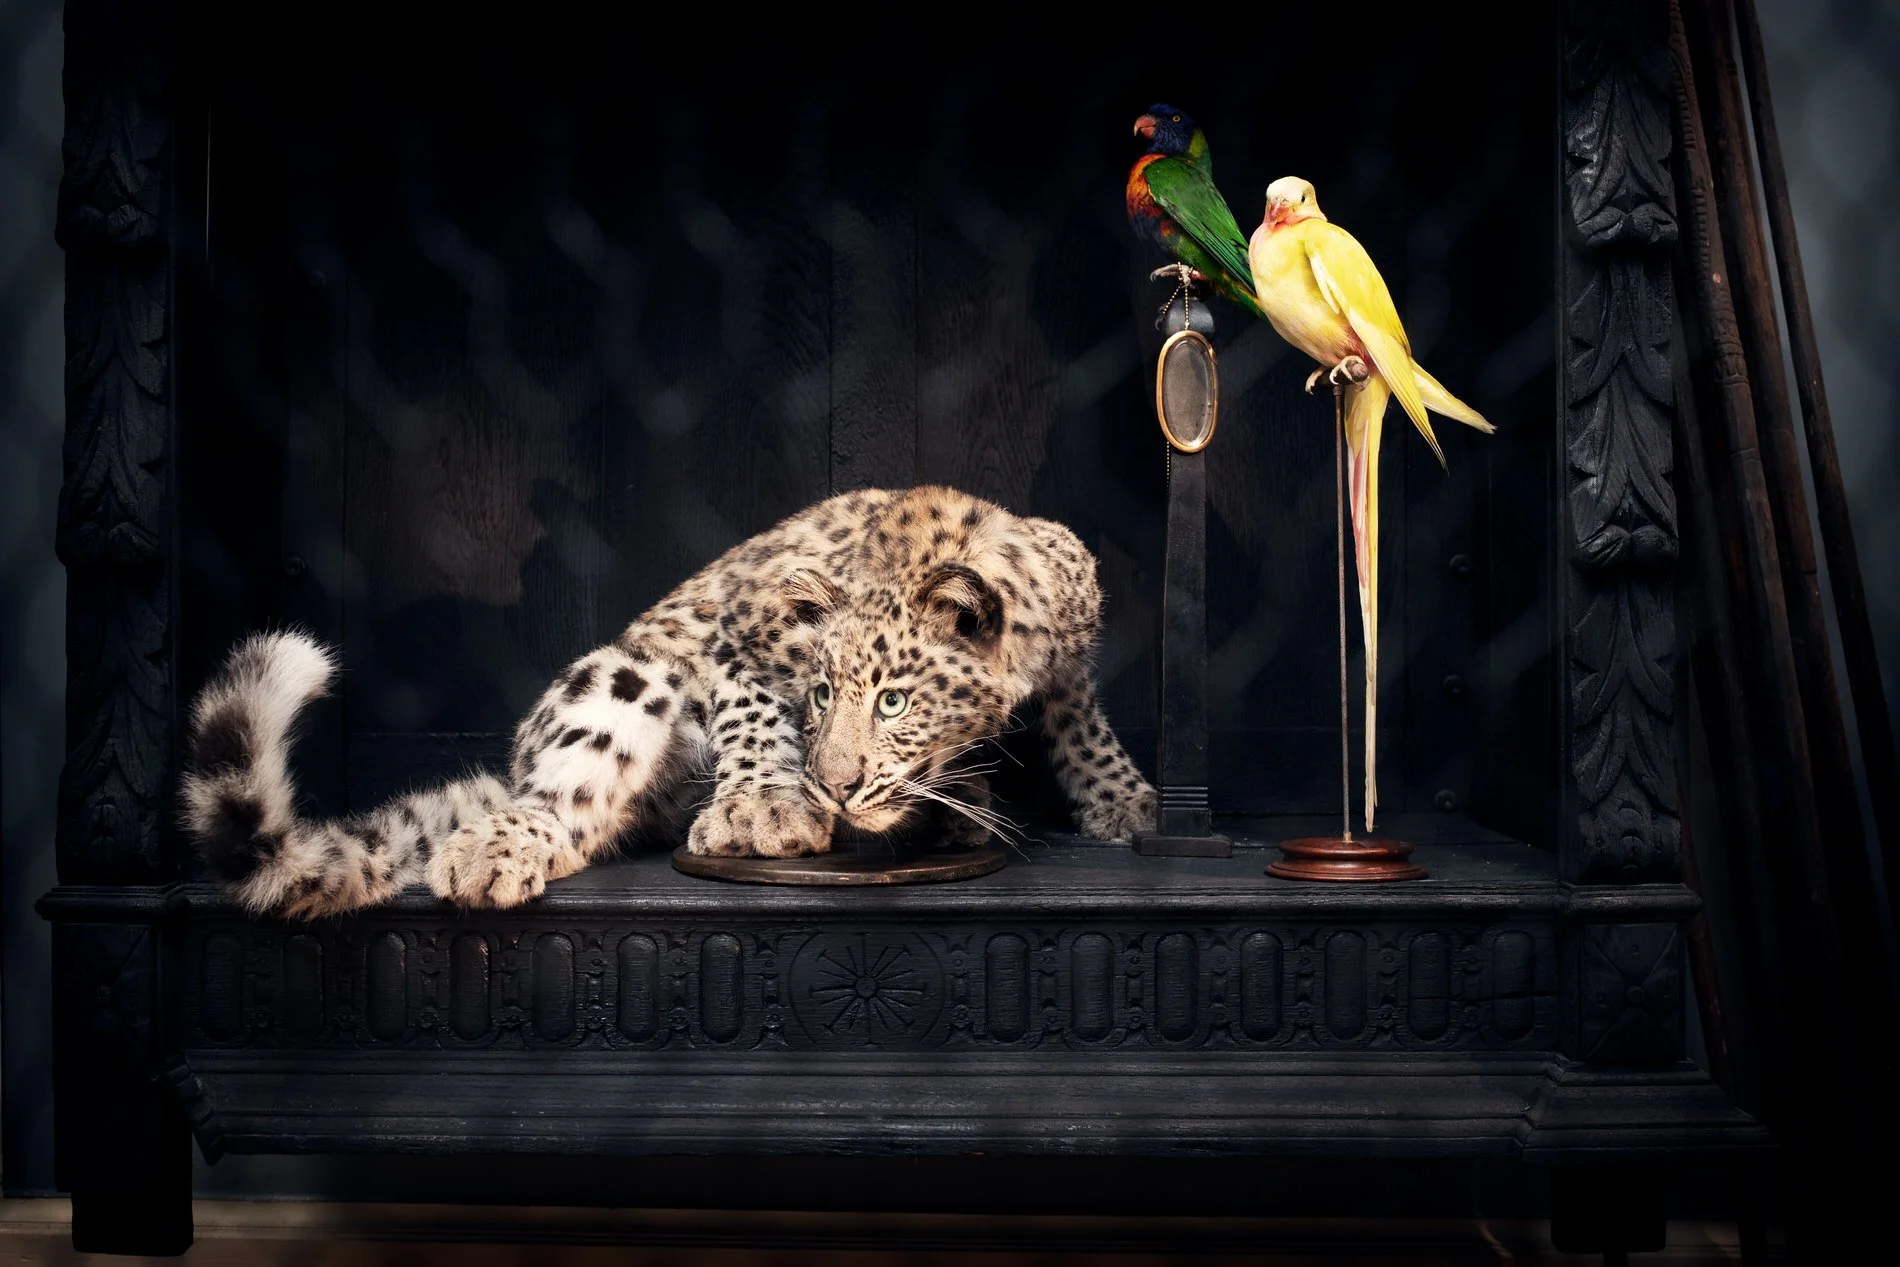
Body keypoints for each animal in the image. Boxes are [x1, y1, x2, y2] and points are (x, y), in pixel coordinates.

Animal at [181, 485, 1159, 917]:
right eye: (822, 694)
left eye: (892, 701)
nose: (837, 786)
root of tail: (514, 767)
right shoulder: (738, 620)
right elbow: (753, 709)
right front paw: (769, 807)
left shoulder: (1068, 619)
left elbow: (1079, 718)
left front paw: (1116, 801)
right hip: (619, 682)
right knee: (559, 807)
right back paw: (486, 854)